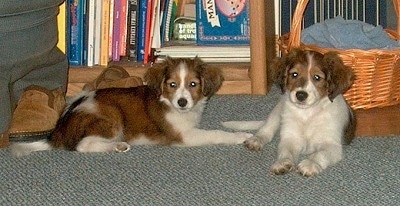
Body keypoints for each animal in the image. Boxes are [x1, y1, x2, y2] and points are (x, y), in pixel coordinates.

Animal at [10, 56, 252, 156]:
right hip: (111, 118)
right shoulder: (184, 135)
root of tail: (59, 129)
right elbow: (216, 133)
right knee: (82, 145)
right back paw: (116, 147)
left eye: (193, 84)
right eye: (172, 85)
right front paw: (242, 137)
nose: (182, 102)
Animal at [223, 49, 358, 176]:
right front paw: (283, 163)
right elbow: (286, 152)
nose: (301, 95)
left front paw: (310, 164)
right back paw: (256, 139)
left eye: (317, 77)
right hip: (278, 109)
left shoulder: (332, 145)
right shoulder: (290, 138)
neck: (307, 114)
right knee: (267, 129)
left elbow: (319, 154)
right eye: (294, 74)